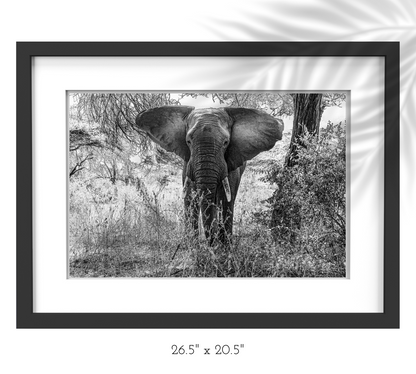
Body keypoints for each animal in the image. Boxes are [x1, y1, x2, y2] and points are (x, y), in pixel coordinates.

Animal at [135, 106, 284, 245]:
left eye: (226, 142)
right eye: (188, 141)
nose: (211, 243)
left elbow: (226, 200)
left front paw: (223, 248)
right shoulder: (188, 163)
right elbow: (190, 198)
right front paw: (192, 246)